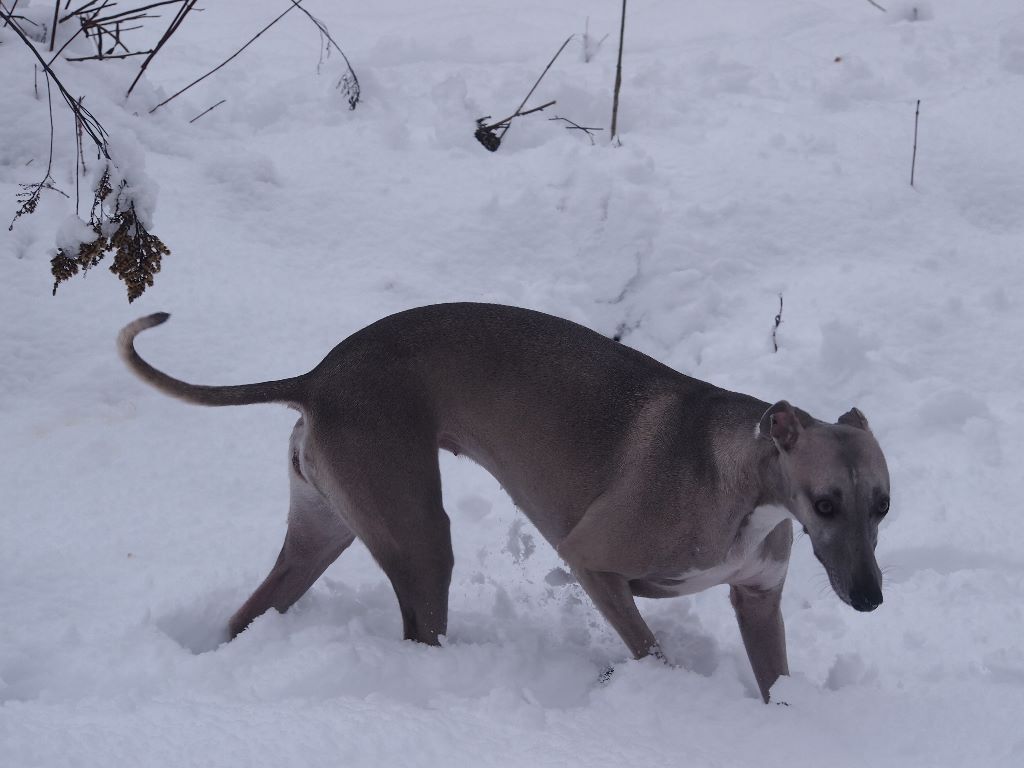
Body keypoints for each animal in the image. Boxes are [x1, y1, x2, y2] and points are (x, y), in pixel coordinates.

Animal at [117, 303, 888, 704]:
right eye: (825, 504)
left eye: (882, 504)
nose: (871, 598)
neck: (742, 474)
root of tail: (317, 378)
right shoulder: (591, 559)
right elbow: (649, 648)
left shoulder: (758, 600)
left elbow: (774, 676)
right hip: (420, 535)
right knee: (419, 625)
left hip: (324, 529)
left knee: (247, 615)